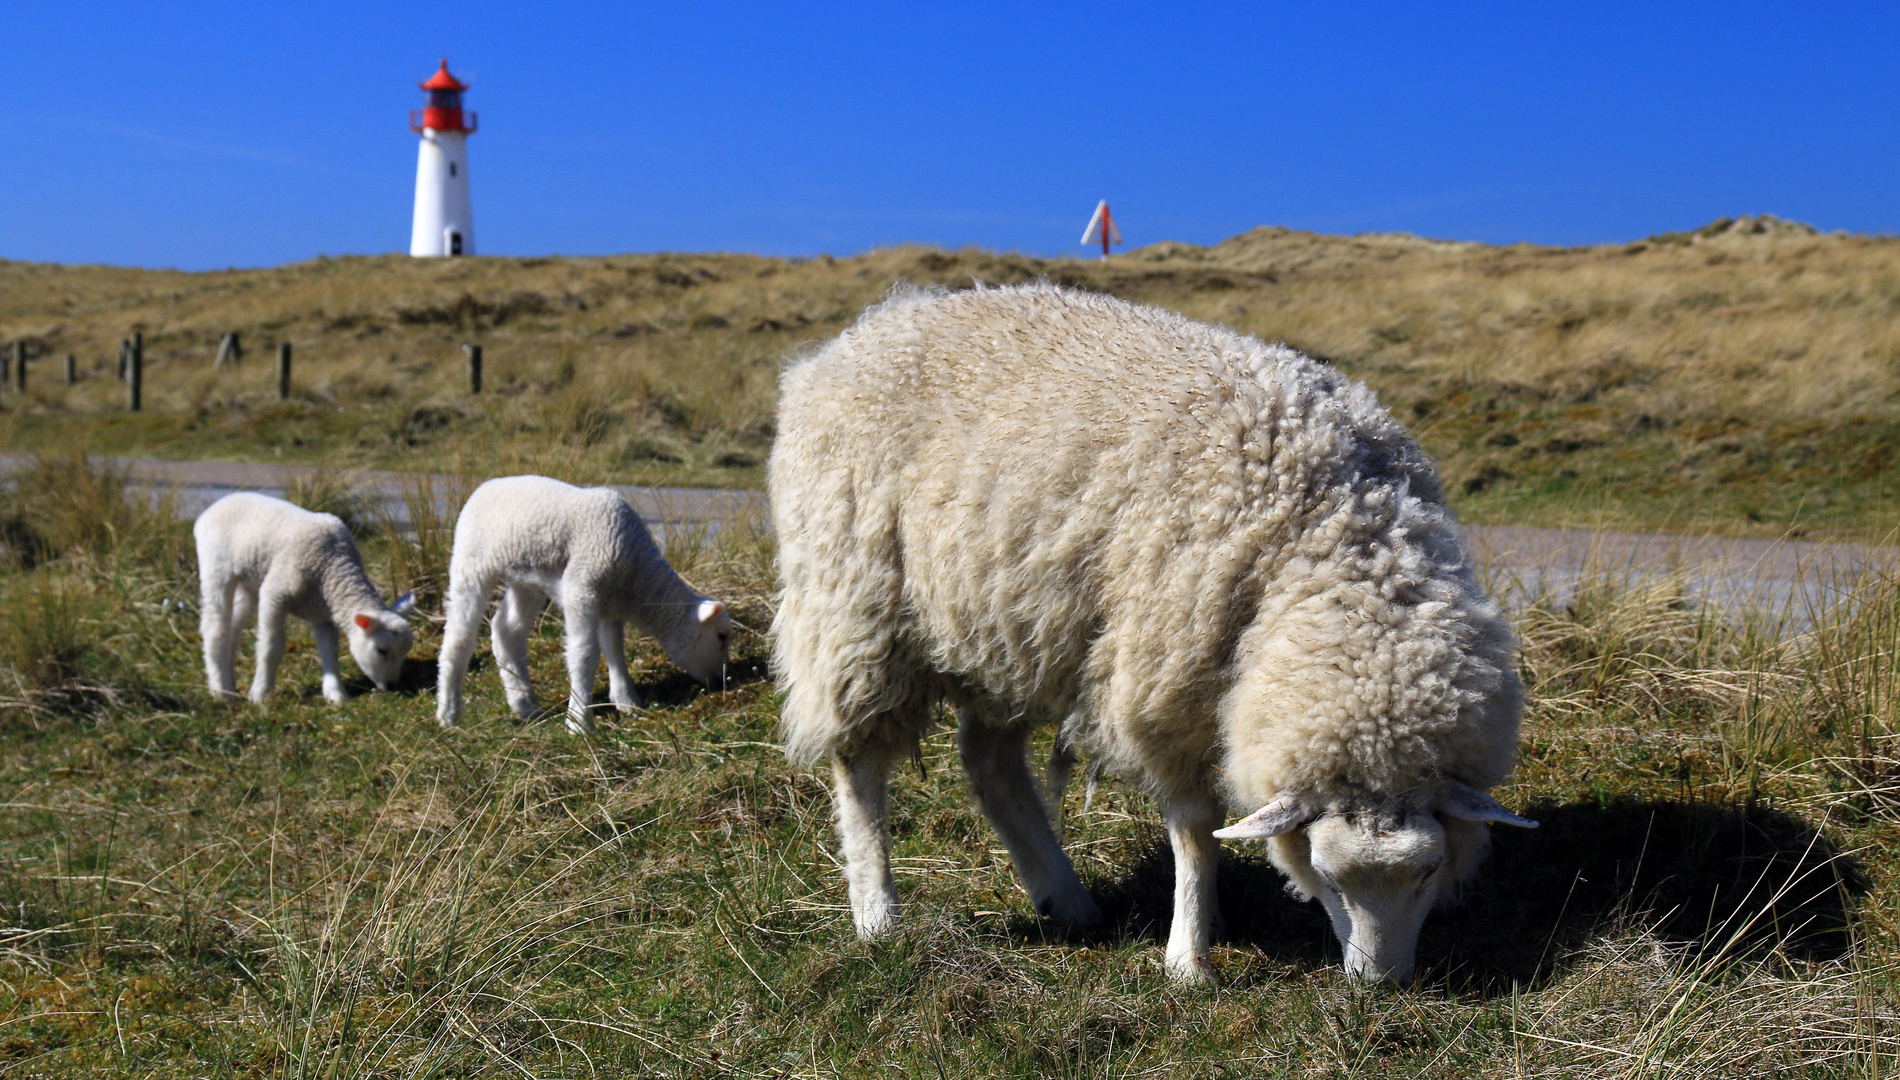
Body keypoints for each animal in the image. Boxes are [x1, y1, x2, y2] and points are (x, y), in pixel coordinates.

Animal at [194, 490, 414, 707]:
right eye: (382, 650)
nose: (392, 686)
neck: (332, 566)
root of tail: (213, 507)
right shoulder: (275, 593)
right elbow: (271, 646)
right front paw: (260, 694)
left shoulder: (322, 614)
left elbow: (329, 651)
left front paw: (336, 694)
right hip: (216, 567)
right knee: (215, 628)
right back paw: (221, 692)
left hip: (249, 583)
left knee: (232, 628)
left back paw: (229, 686)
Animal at [435, 475, 733, 733]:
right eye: (721, 636)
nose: (722, 681)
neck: (636, 576)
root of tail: (484, 486)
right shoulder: (582, 589)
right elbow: (585, 654)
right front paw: (579, 723)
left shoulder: (609, 603)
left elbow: (615, 649)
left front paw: (627, 701)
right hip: (471, 562)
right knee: (458, 637)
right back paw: (449, 712)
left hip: (526, 578)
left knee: (506, 630)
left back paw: (525, 705)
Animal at [763, 285, 1535, 988]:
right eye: (1326, 873)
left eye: (1429, 870)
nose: (1382, 985)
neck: (1336, 534)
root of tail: (851, 339)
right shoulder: (1169, 683)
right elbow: (1194, 829)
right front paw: (1190, 957)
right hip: (857, 602)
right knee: (859, 761)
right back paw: (878, 916)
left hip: (1004, 625)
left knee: (989, 763)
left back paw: (1065, 898)